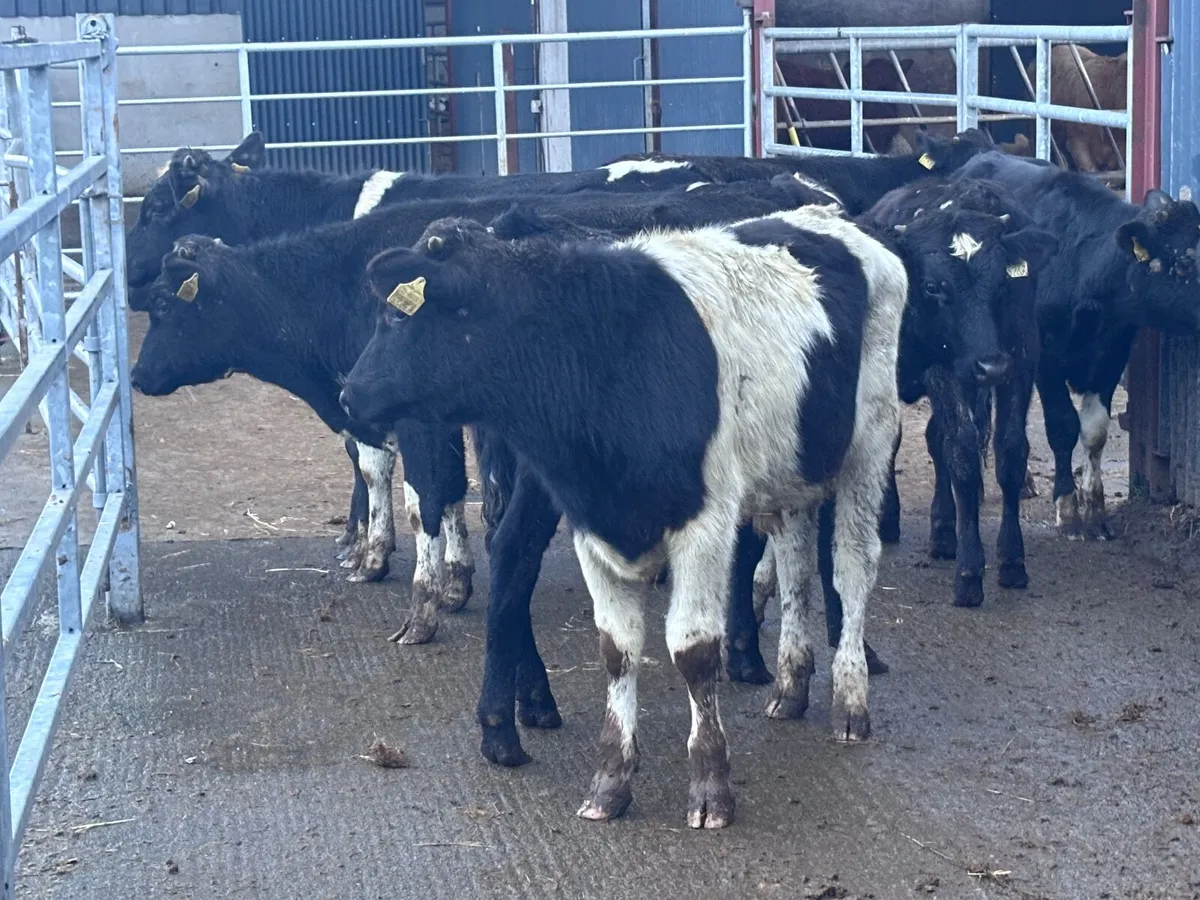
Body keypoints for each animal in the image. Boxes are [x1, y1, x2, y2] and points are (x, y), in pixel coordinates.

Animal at [337, 206, 907, 828]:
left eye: (395, 316)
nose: (347, 395)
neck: (608, 352)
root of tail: (831, 219)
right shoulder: (592, 524)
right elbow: (617, 648)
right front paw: (610, 780)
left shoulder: (705, 525)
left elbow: (693, 651)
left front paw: (710, 785)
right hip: (795, 468)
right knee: (797, 569)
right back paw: (790, 685)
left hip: (869, 447)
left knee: (851, 569)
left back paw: (850, 702)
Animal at [955, 151, 1200, 540]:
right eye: (1187, 262)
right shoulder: (1046, 359)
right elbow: (1062, 426)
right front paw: (1068, 510)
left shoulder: (1112, 354)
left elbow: (1095, 430)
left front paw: (1096, 511)